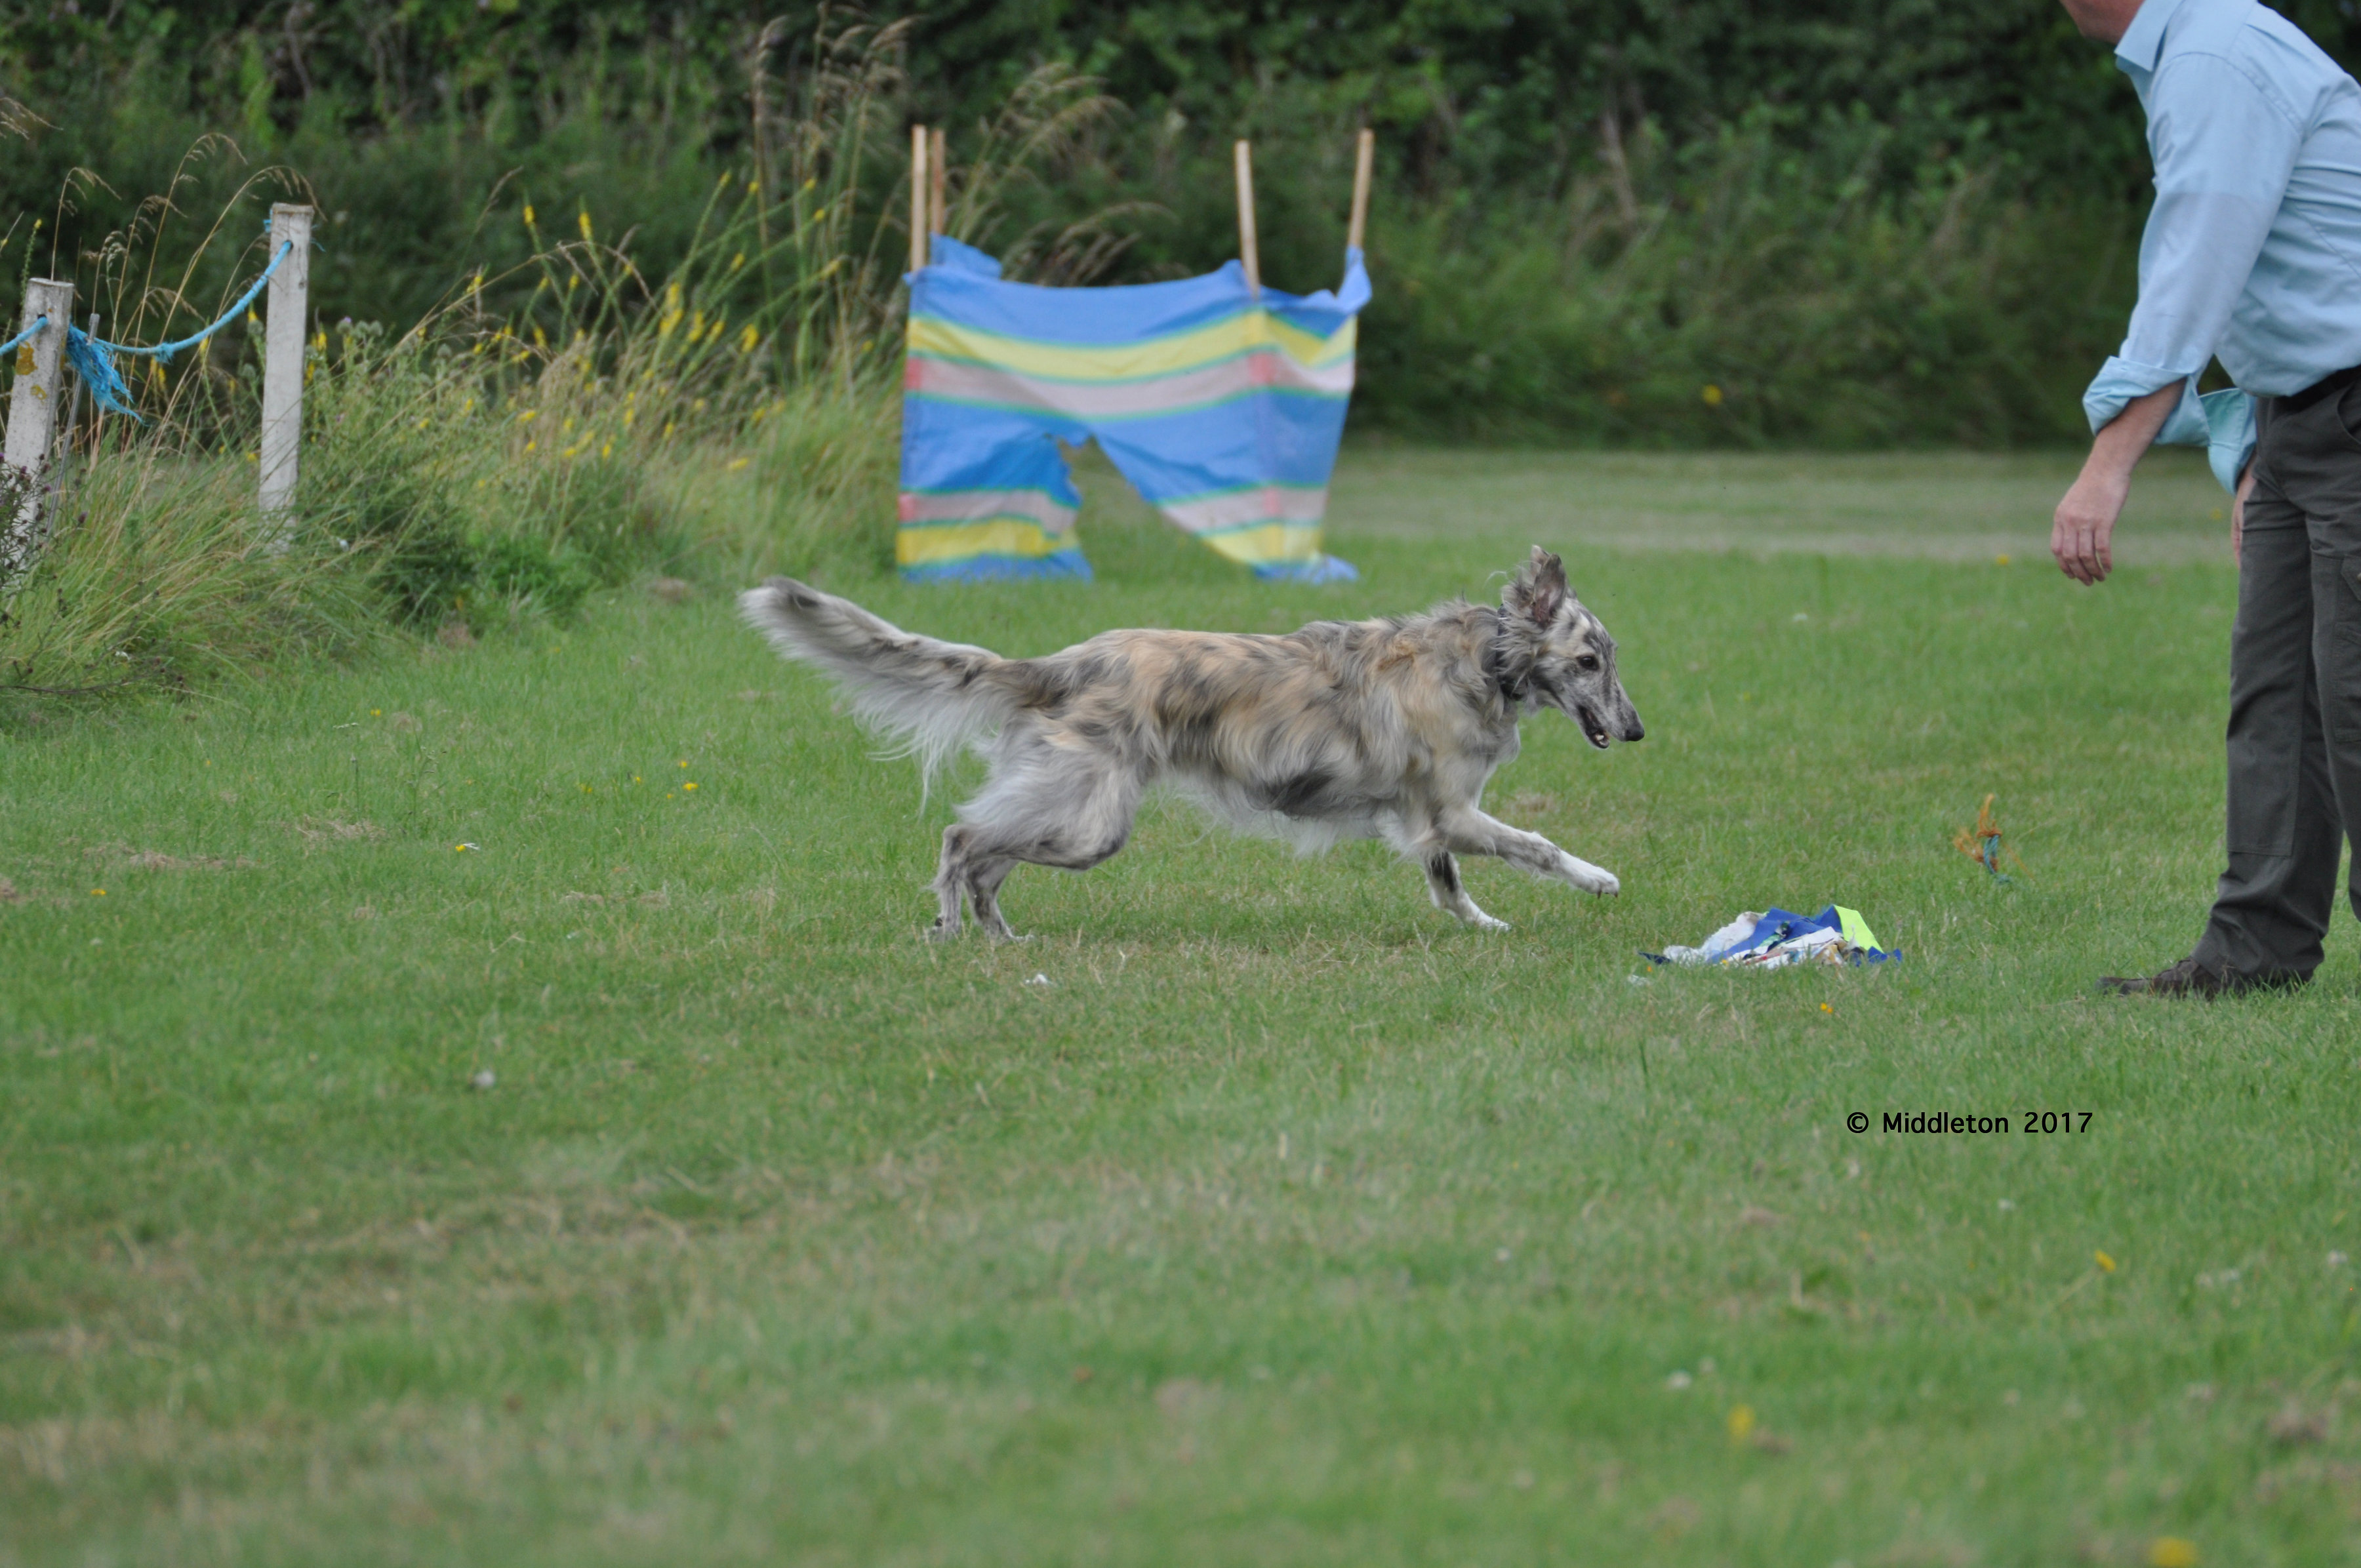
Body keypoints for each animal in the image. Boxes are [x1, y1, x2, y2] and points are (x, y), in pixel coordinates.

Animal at [739, 547, 1643, 937]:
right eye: (1589, 660)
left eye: (1611, 657)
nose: (1637, 729)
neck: (1481, 661)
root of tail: (1066, 662)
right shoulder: (1450, 812)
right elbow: (1536, 845)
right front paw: (1597, 878)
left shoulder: (1426, 820)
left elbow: (1449, 884)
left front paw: (1482, 926)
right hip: (1090, 822)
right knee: (964, 840)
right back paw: (956, 931)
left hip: (1071, 809)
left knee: (987, 859)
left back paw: (1000, 940)